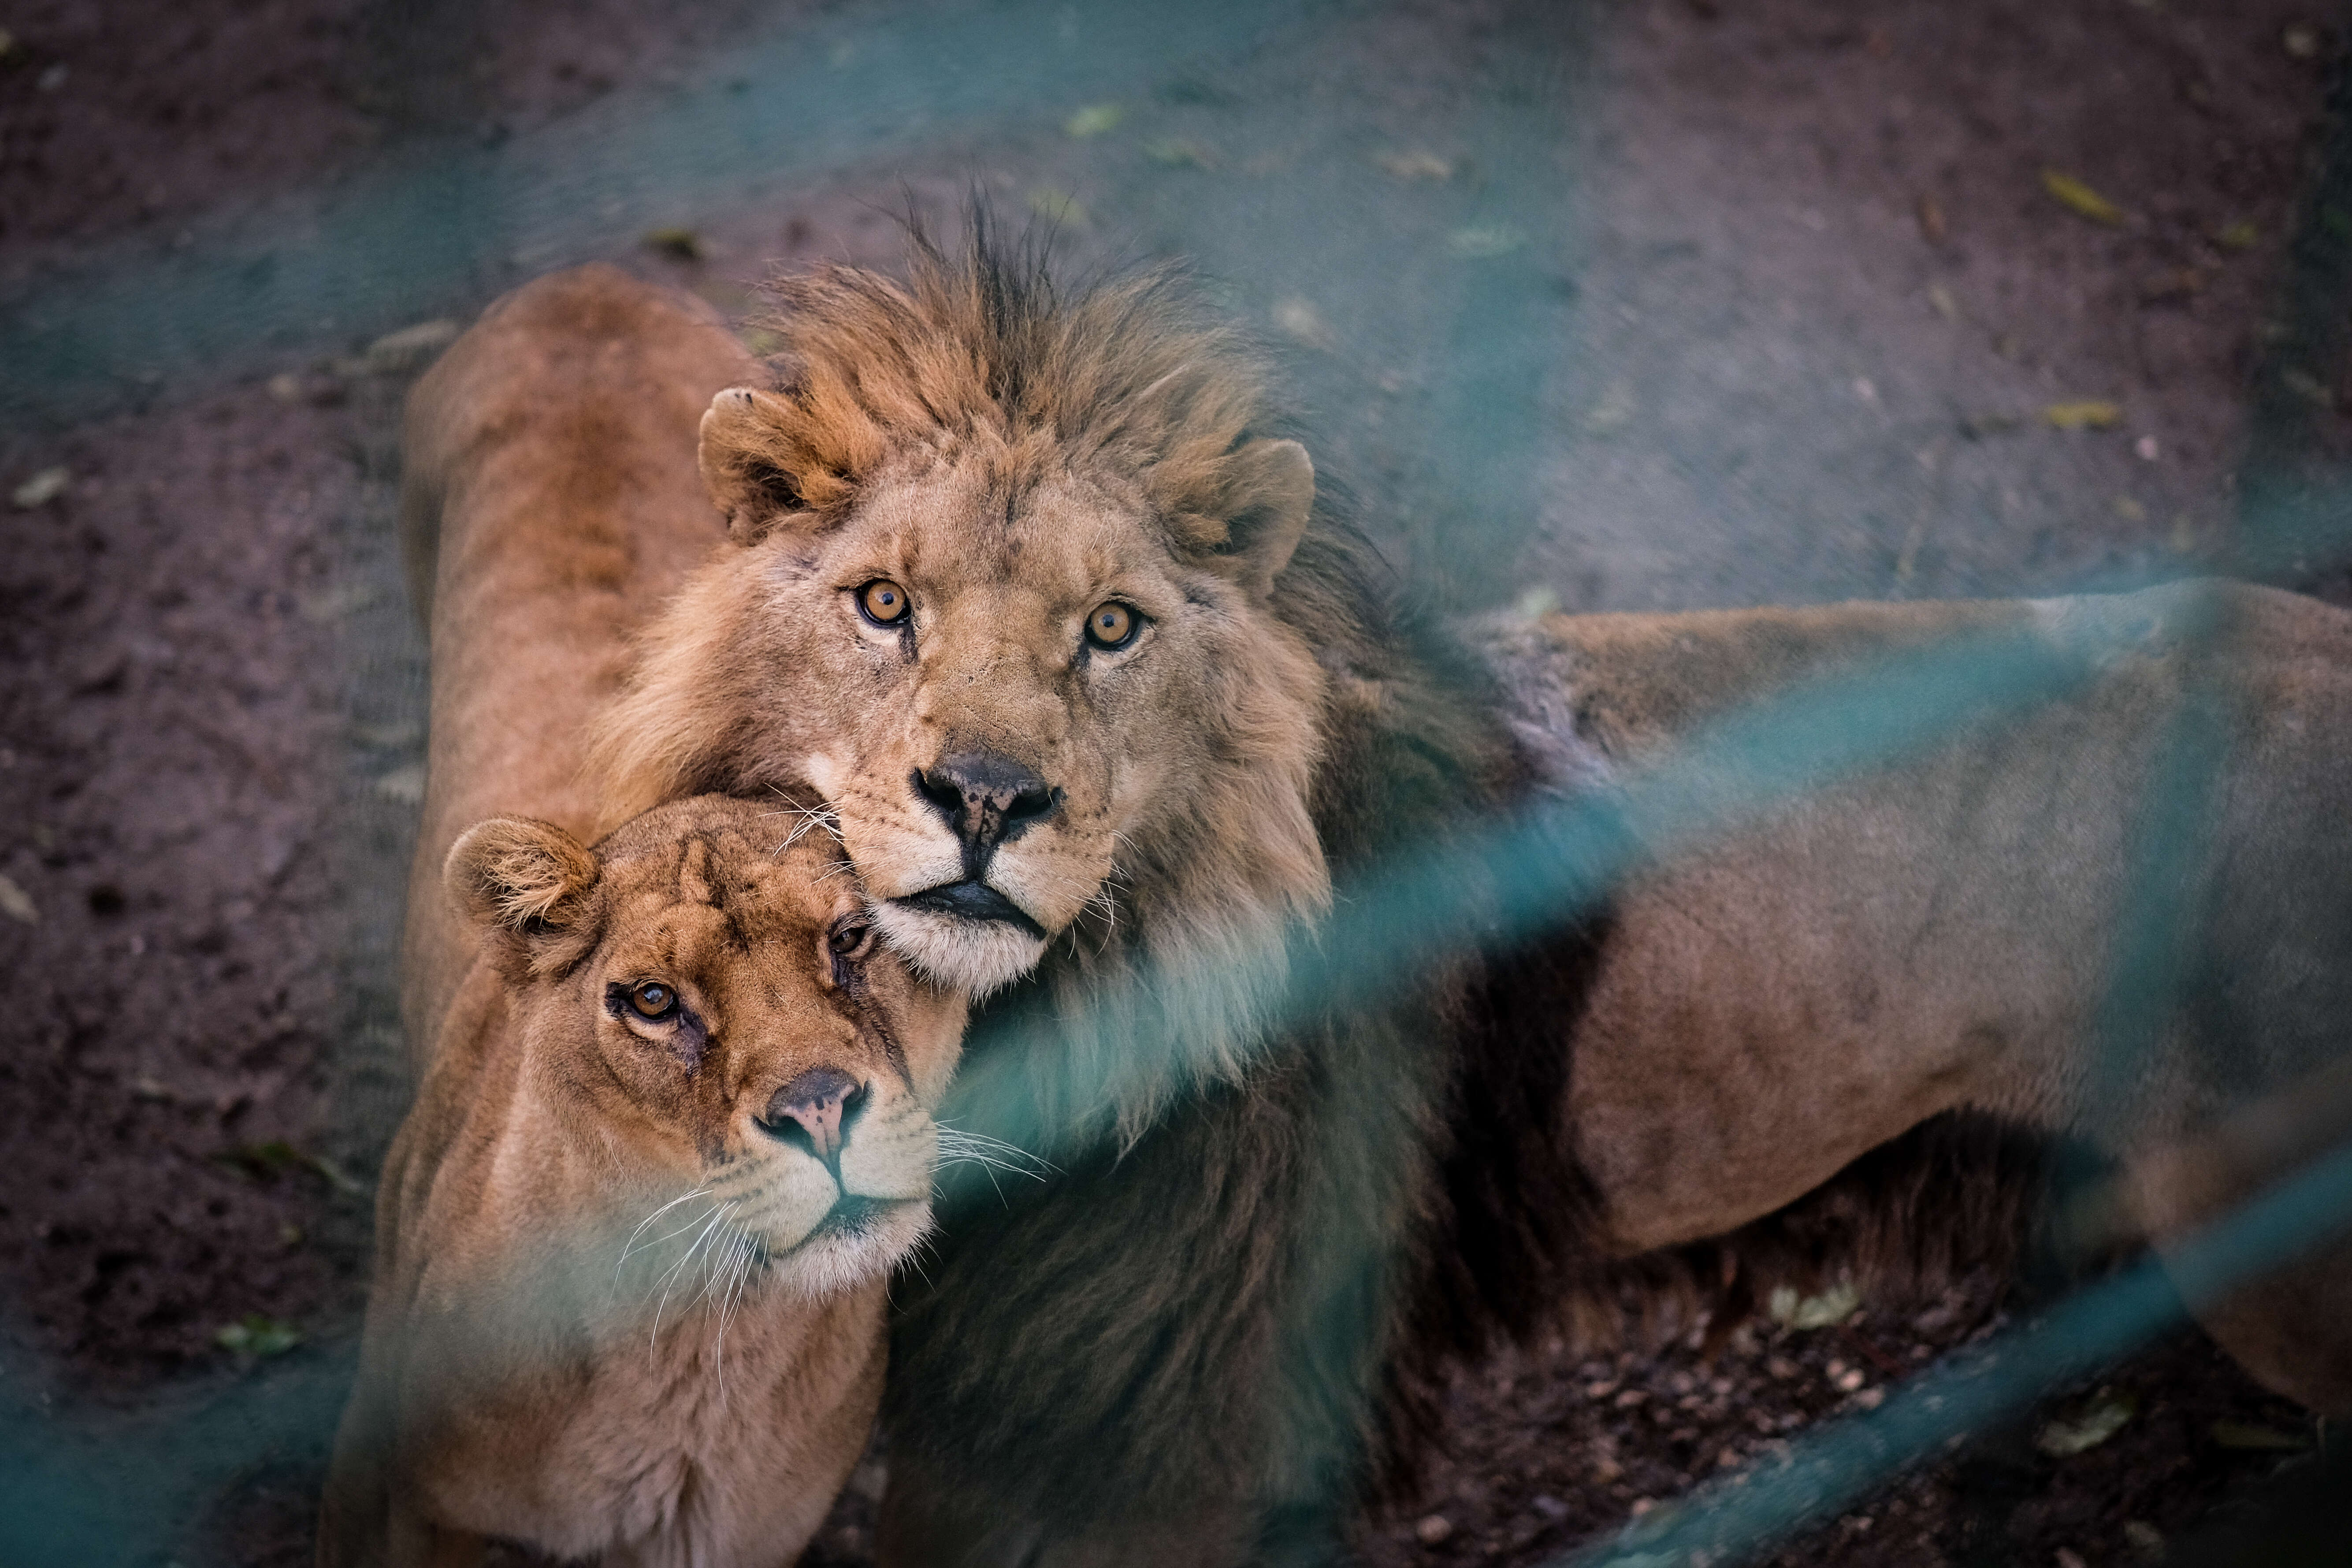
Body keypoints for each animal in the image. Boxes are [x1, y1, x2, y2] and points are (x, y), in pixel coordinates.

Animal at [320, 263, 964, 1561]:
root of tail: (590, 282)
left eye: (853, 939)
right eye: (653, 1001)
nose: (819, 1109)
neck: (704, 1340)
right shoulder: (411, 1505)